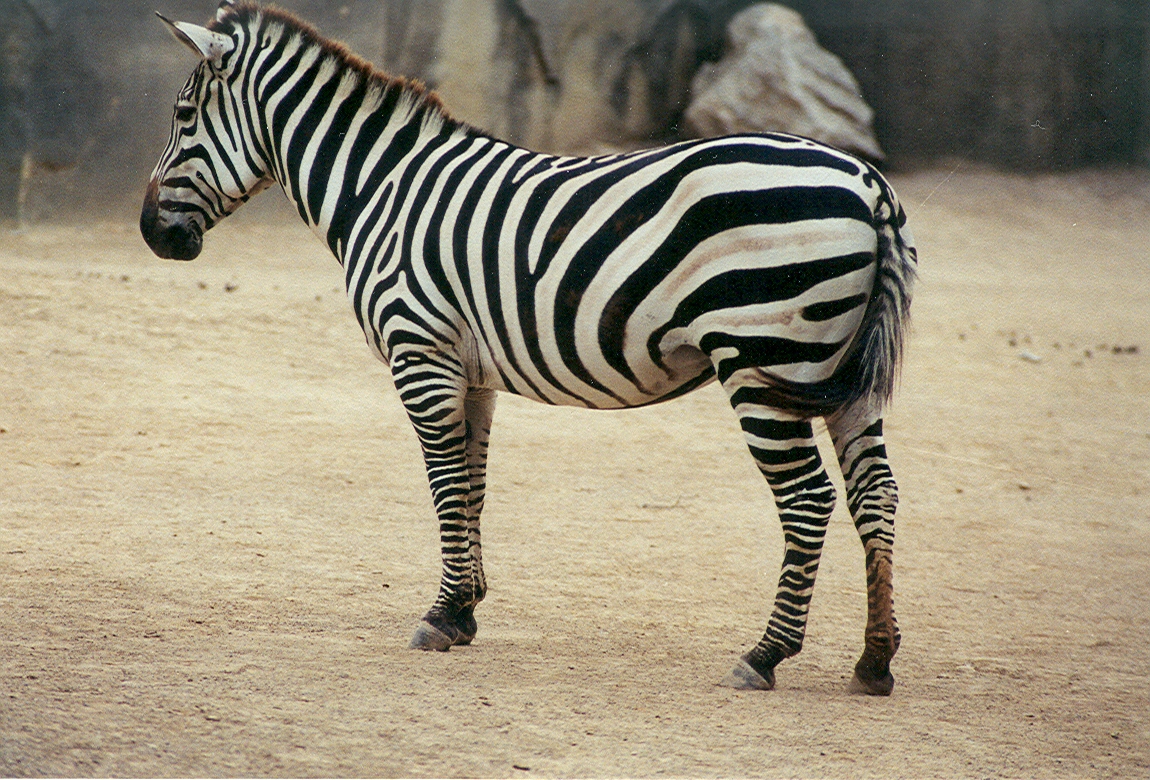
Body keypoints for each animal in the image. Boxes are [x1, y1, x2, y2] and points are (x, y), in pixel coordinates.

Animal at [141, 0, 916, 695]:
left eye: (182, 118)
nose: (152, 233)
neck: (379, 192)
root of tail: (866, 182)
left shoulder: (418, 351)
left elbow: (444, 482)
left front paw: (441, 615)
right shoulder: (470, 369)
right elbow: (473, 483)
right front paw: (465, 609)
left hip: (763, 360)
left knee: (808, 499)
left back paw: (765, 655)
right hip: (840, 371)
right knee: (875, 492)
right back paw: (875, 659)